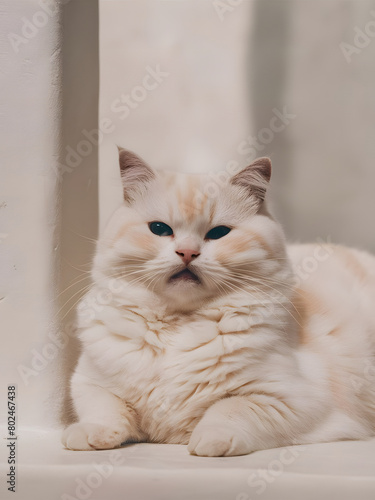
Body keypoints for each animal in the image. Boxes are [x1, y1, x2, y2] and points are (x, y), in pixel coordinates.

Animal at [61, 148, 375, 458]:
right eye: (159, 229)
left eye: (218, 233)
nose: (187, 253)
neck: (178, 325)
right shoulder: (89, 383)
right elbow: (104, 411)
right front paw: (89, 436)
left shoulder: (287, 398)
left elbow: (229, 408)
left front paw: (208, 442)